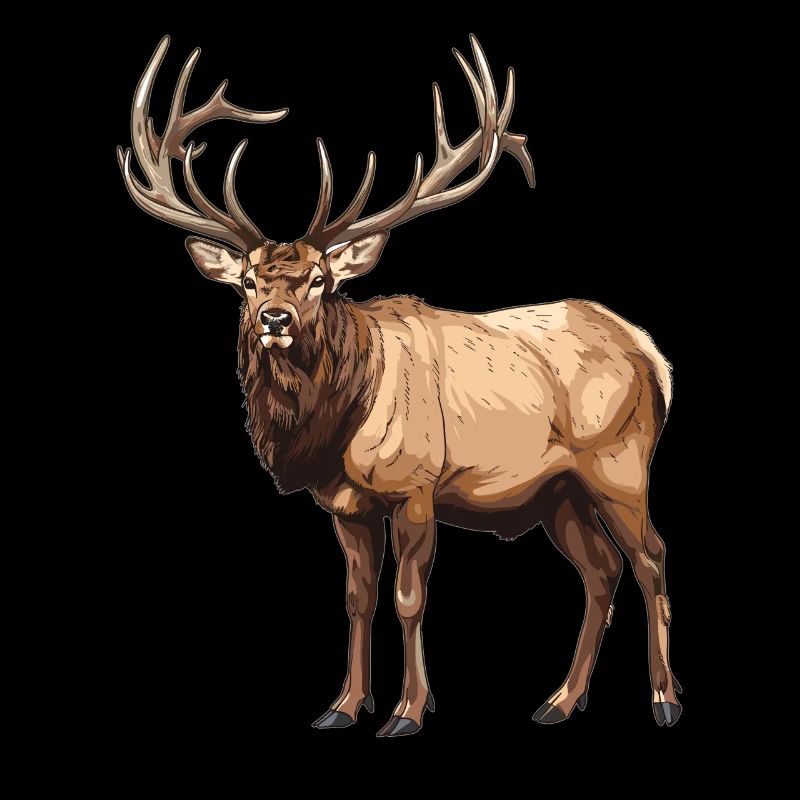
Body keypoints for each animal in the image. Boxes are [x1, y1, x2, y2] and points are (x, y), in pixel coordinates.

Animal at [118, 35, 682, 736]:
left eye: (321, 280)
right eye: (247, 281)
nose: (274, 318)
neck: (332, 430)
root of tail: (652, 354)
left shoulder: (416, 484)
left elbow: (410, 598)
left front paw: (409, 712)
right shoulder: (345, 506)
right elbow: (358, 599)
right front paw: (341, 707)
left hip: (619, 462)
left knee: (651, 558)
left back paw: (664, 700)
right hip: (559, 491)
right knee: (600, 572)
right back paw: (558, 701)